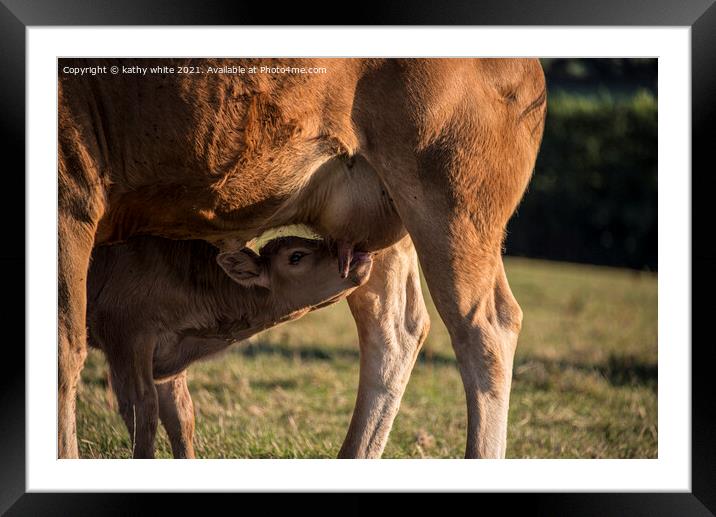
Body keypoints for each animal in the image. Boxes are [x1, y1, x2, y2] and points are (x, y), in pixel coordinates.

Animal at [86, 234, 372, 456]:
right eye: (296, 256)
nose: (359, 253)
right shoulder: (126, 340)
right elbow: (141, 414)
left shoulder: (168, 361)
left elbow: (181, 417)